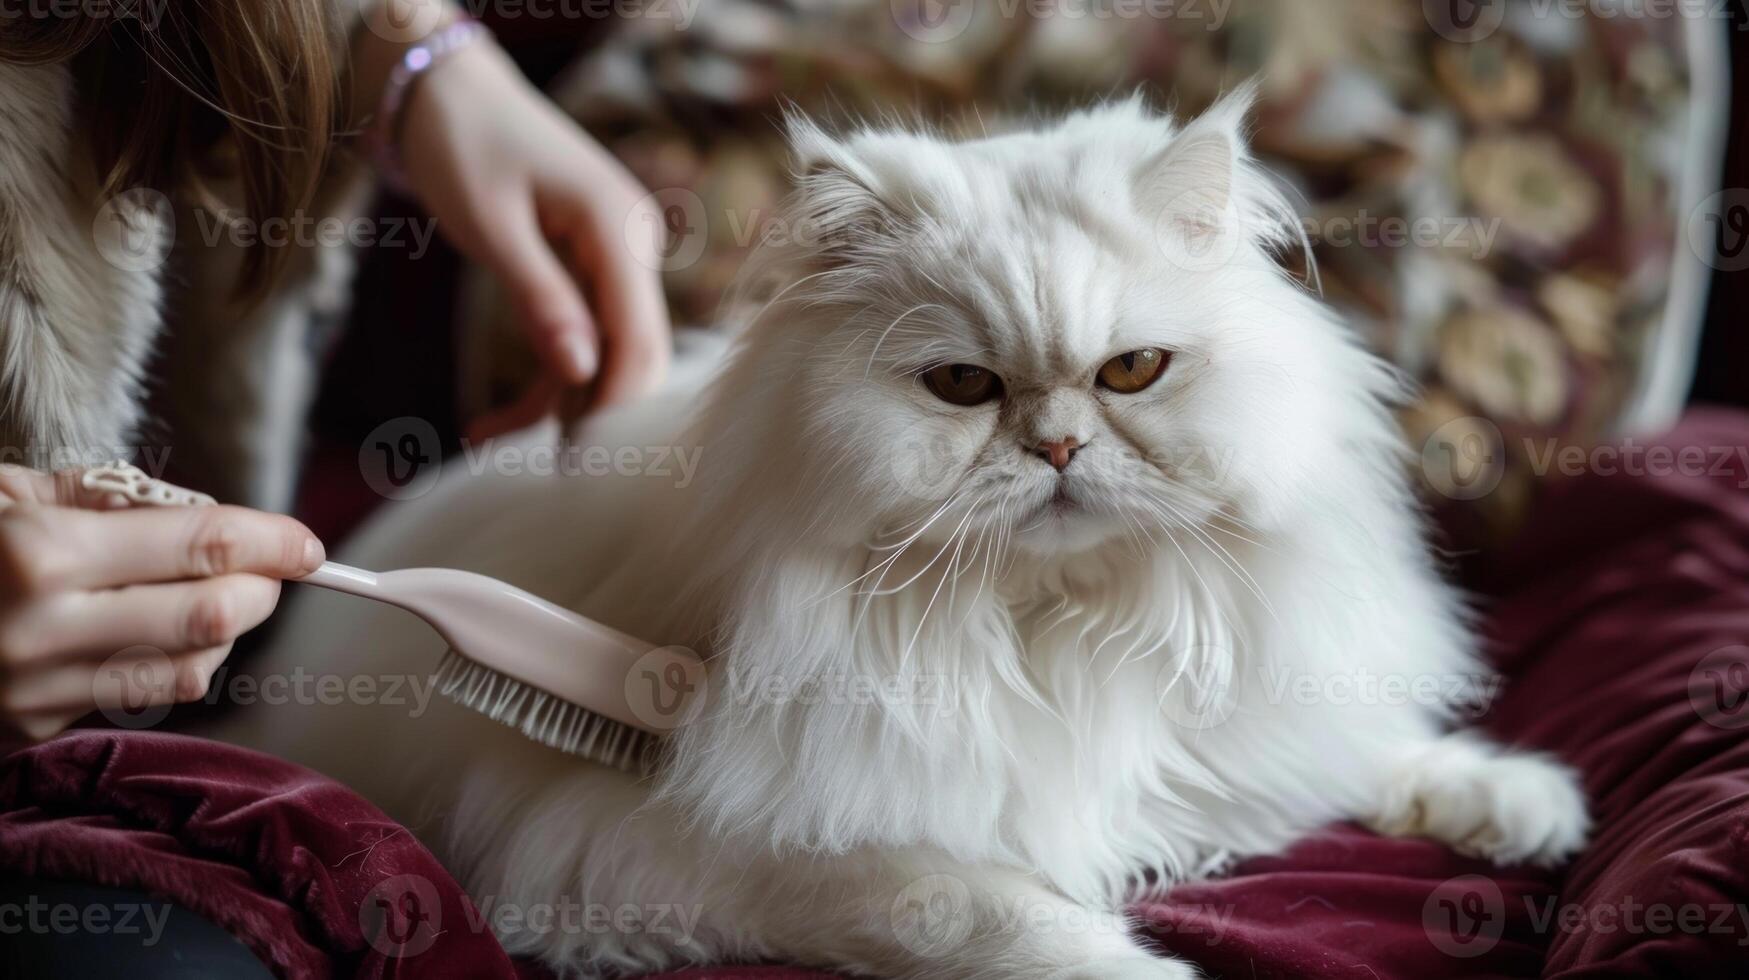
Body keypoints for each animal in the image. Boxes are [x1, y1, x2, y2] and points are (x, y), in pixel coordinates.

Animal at [215, 87, 1588, 973]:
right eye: (965, 387)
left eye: (1132, 372)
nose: (1057, 447)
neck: (1047, 625)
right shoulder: (667, 841)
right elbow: (1009, 911)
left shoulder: (1244, 726)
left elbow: (1354, 751)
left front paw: (1517, 802)